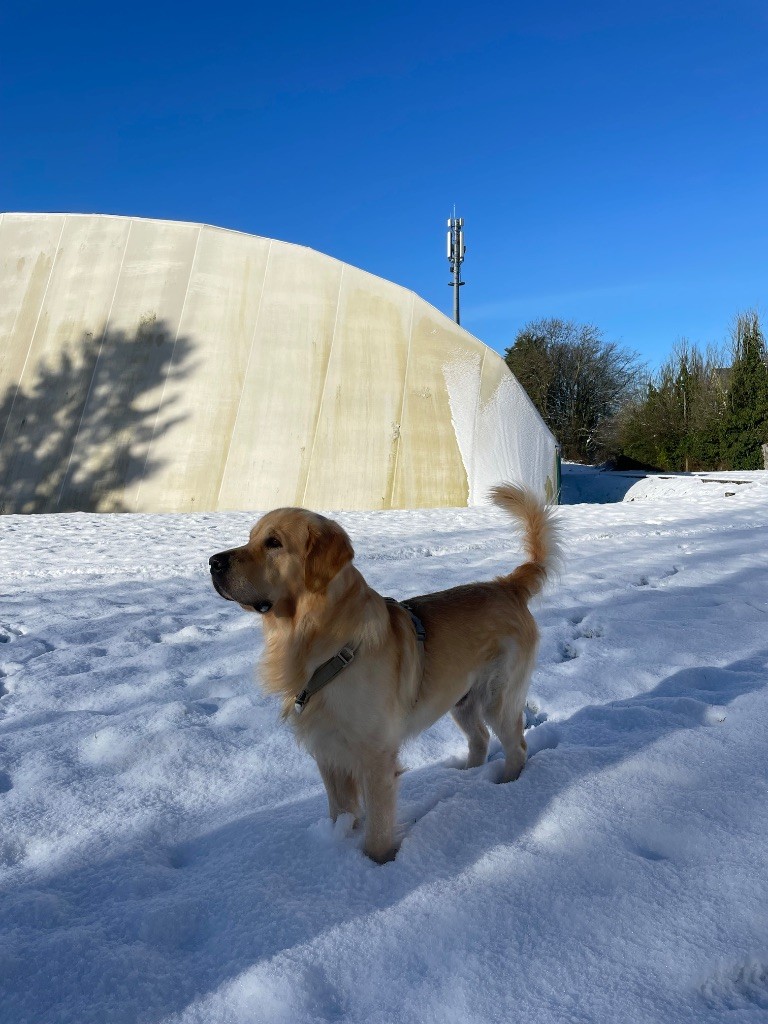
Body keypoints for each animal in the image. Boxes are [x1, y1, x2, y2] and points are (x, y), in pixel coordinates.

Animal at [209, 483, 558, 863]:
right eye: (250, 538)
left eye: (273, 542)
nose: (213, 562)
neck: (321, 642)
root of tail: (507, 585)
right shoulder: (328, 750)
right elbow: (341, 811)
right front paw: (340, 842)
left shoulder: (375, 758)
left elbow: (377, 832)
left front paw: (375, 866)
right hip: (460, 700)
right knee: (479, 739)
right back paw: (463, 778)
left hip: (499, 697)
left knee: (517, 746)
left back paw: (504, 789)